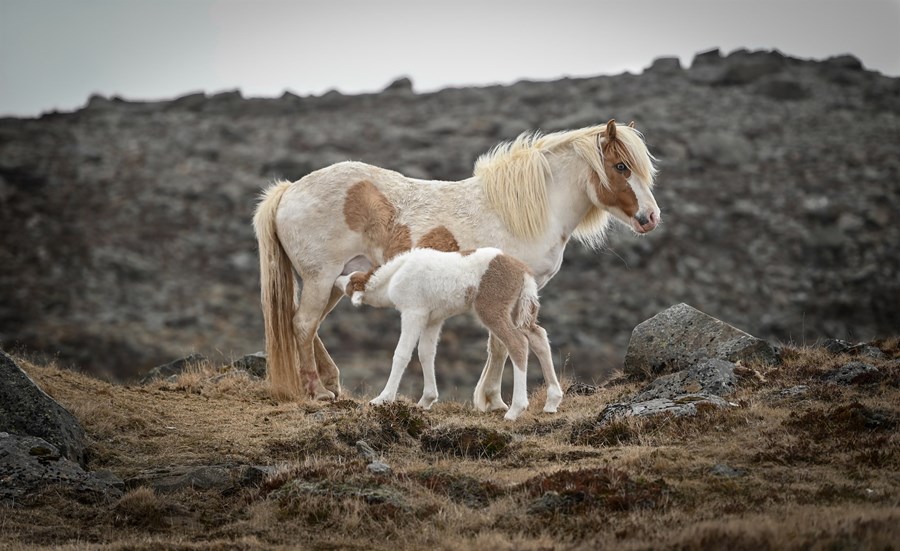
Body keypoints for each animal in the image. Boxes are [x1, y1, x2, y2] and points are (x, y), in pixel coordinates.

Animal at [336, 248, 564, 420]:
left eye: (351, 283)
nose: (338, 278)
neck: (395, 275)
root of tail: (523, 272)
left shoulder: (413, 313)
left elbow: (402, 354)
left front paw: (383, 398)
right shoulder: (434, 319)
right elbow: (426, 353)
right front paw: (426, 400)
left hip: (492, 311)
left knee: (518, 343)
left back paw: (515, 410)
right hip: (517, 311)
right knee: (538, 336)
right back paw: (552, 402)